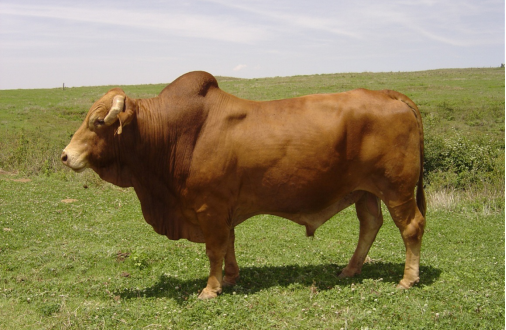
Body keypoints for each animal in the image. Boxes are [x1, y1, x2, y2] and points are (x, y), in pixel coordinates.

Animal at [63, 71, 426, 300]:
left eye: (97, 121)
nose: (66, 155)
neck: (171, 134)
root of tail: (390, 95)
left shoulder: (209, 208)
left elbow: (214, 249)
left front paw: (211, 288)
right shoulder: (222, 209)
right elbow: (229, 243)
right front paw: (231, 277)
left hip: (397, 188)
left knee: (411, 227)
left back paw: (407, 279)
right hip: (365, 192)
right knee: (370, 224)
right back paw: (350, 270)